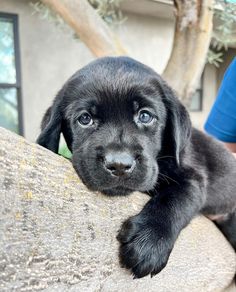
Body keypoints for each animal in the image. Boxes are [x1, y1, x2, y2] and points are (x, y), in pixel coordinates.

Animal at [37, 56, 236, 278]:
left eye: (145, 116)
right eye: (85, 119)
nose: (119, 165)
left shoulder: (194, 177)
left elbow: (176, 198)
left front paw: (149, 241)